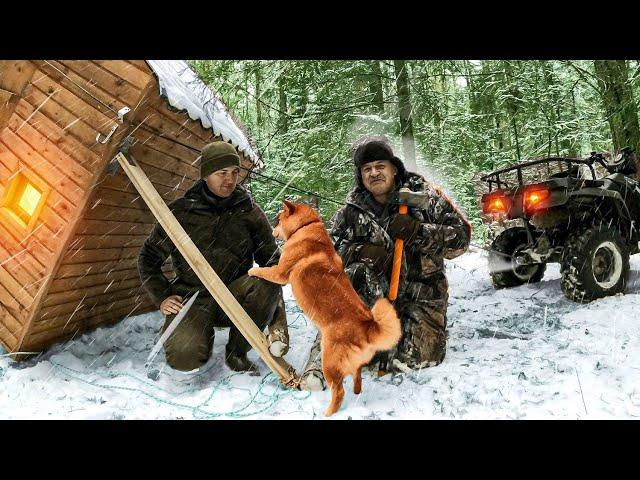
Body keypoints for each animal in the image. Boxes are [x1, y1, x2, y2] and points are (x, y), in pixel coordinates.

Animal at [248, 201, 398, 414]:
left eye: (279, 218)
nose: (272, 229)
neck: (306, 227)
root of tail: (367, 326)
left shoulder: (280, 273)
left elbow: (264, 271)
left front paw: (252, 271)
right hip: (353, 366)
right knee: (357, 380)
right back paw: (356, 392)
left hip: (329, 364)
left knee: (339, 392)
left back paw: (328, 413)